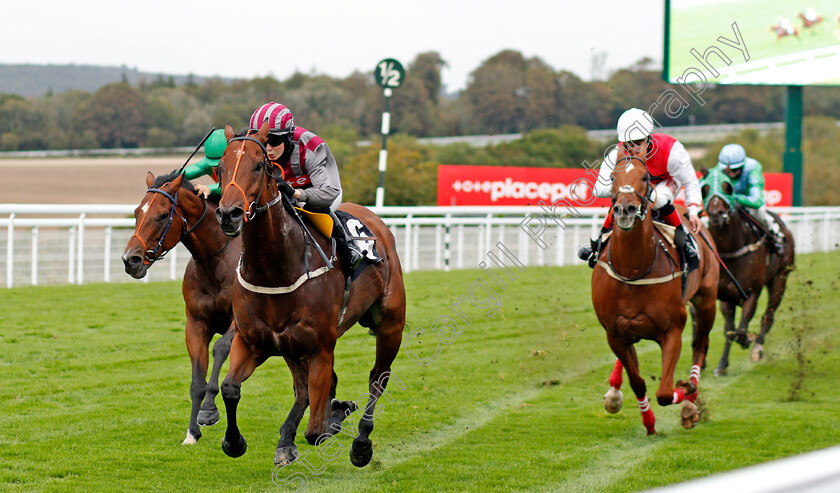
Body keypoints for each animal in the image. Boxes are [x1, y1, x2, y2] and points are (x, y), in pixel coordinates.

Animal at [120, 171, 236, 444]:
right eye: (137, 212)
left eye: (163, 215)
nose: (130, 260)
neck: (217, 261)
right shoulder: (195, 324)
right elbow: (196, 381)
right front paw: (192, 433)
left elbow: (220, 347)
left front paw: (208, 410)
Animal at [213, 122, 404, 466]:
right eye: (220, 167)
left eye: (259, 166)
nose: (229, 214)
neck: (276, 269)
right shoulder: (253, 341)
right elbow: (230, 388)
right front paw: (234, 441)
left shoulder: (320, 349)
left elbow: (315, 430)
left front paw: (335, 418)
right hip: (291, 347)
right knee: (302, 389)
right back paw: (289, 439)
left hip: (390, 324)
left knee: (377, 377)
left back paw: (361, 442)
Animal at [592, 150, 720, 434]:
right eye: (612, 177)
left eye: (645, 176)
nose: (625, 209)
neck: (633, 270)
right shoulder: (614, 334)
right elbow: (638, 382)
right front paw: (648, 423)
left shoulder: (672, 330)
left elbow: (665, 391)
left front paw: (687, 392)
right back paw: (614, 391)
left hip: (706, 300)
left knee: (700, 344)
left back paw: (691, 401)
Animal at [704, 167, 796, 374]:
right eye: (705, 188)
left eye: (728, 187)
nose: (716, 213)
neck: (732, 249)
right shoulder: (725, 297)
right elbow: (729, 331)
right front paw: (722, 365)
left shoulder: (752, 293)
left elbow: (740, 330)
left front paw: (747, 340)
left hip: (780, 278)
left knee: (768, 317)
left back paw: (757, 349)